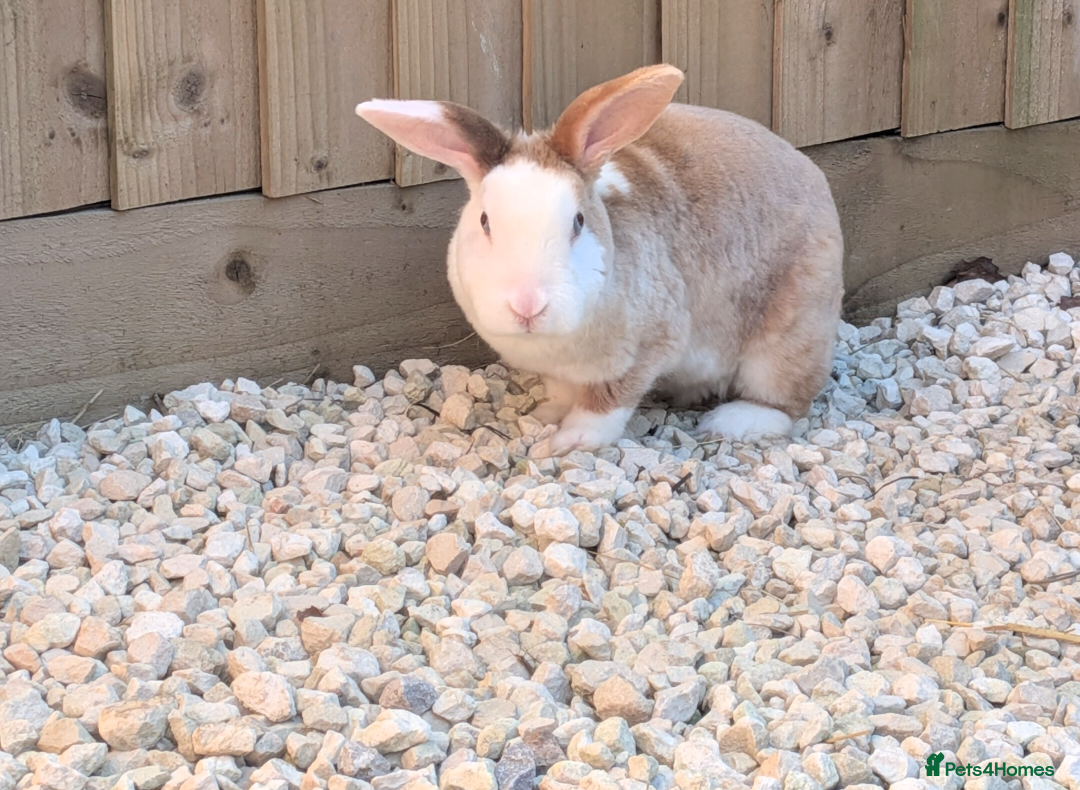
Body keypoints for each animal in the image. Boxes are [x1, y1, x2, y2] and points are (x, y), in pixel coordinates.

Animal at [356, 64, 843, 455]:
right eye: (484, 221)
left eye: (578, 222)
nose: (528, 306)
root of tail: (817, 182)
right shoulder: (557, 370)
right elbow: (560, 392)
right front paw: (547, 414)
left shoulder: (645, 349)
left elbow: (607, 404)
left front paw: (571, 440)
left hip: (786, 342)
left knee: (786, 403)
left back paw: (733, 422)